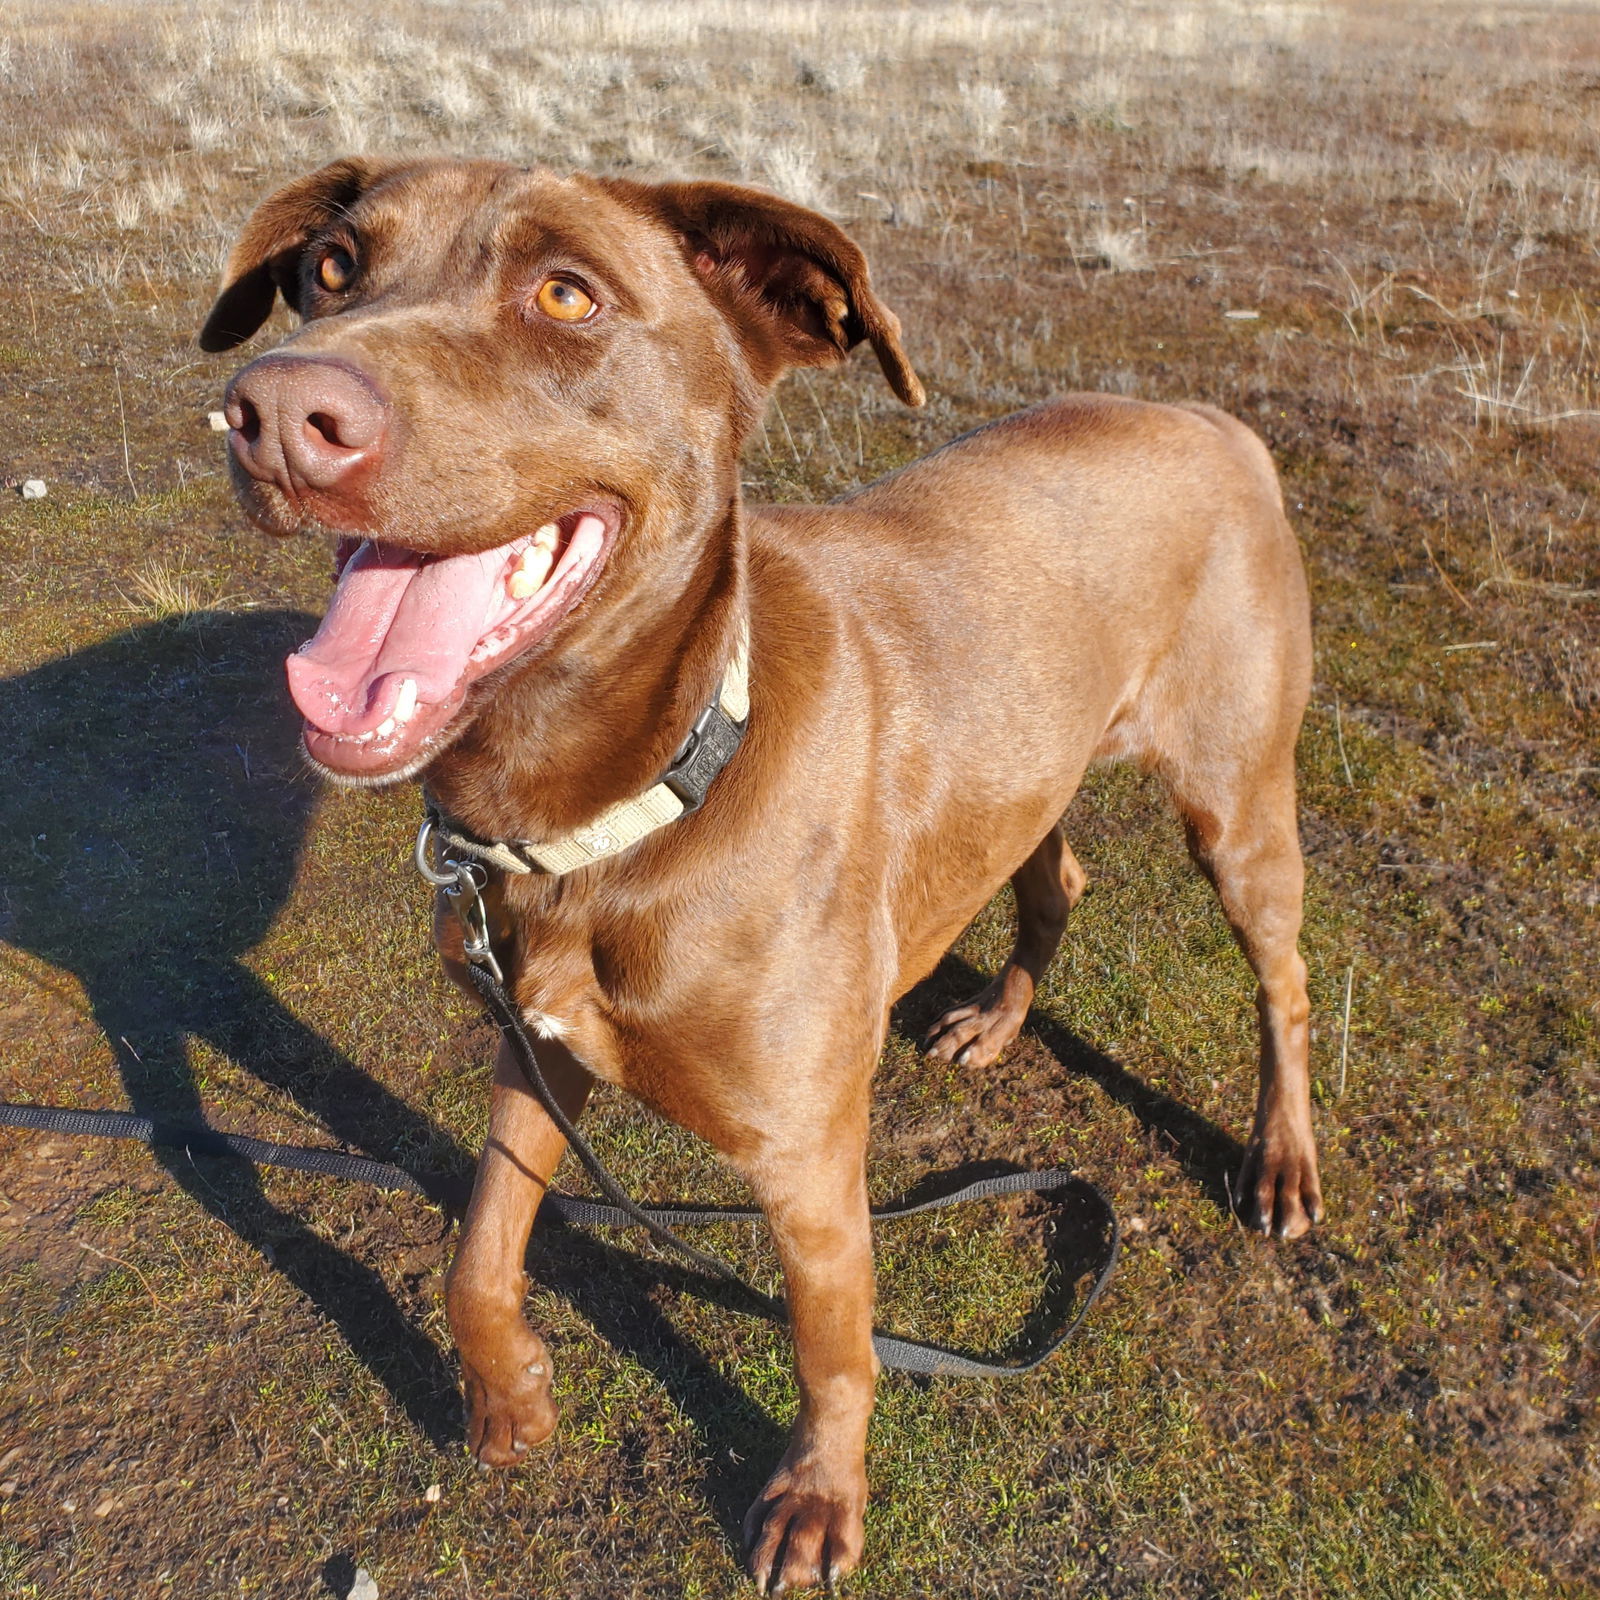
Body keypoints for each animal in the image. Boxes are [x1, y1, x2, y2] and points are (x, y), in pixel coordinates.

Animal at [203, 159, 1324, 1587]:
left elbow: (834, 1350)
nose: (277, 414)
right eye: (331, 269)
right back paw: (997, 1018)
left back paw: (1281, 1161)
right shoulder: (536, 1045)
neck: (613, 810)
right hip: (1031, 752)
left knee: (1283, 982)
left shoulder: (808, 1155)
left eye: (565, 294)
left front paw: (817, 1496)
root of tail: (1209, 419)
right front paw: (509, 1393)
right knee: (1053, 875)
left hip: (1236, 804)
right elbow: (479, 1245)